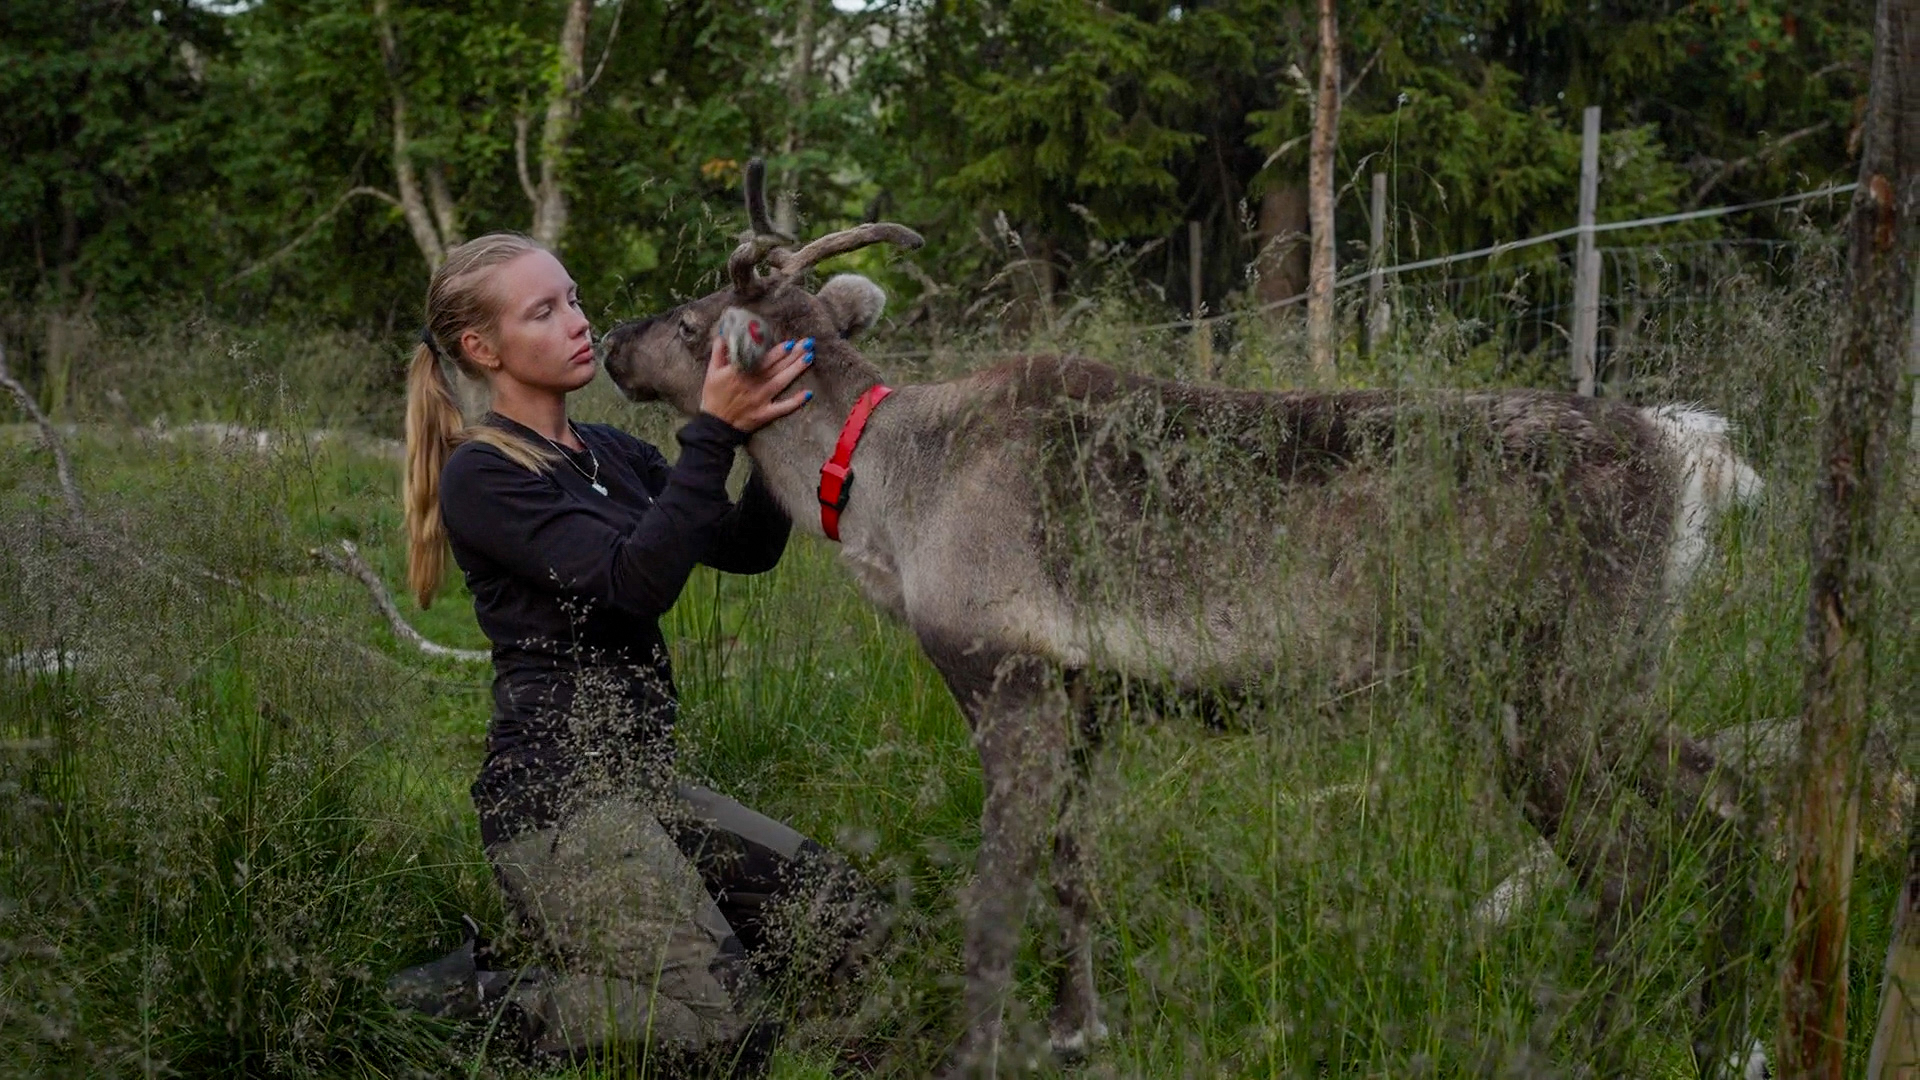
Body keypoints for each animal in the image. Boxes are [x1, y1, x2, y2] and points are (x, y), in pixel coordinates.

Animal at [600, 162, 1769, 1077]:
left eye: (693, 323)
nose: (610, 338)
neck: (890, 492)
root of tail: (1692, 456)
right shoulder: (1085, 697)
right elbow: (1074, 871)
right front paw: (1078, 1029)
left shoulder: (1007, 679)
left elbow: (996, 898)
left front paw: (979, 1052)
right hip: (1598, 685)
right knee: (1729, 808)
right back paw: (1719, 1036)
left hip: (1551, 692)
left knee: (1633, 865)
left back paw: (1610, 1042)